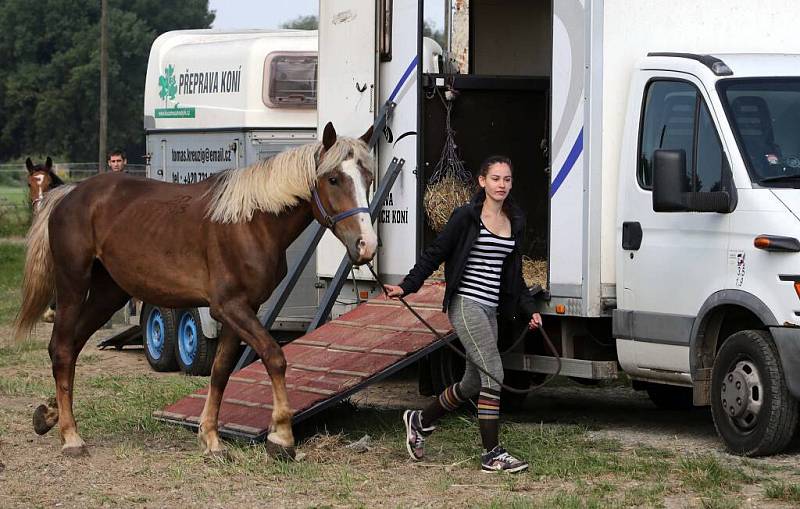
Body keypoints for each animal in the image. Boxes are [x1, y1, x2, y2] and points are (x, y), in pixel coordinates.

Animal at [12, 123, 376, 456]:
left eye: (368, 178)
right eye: (333, 179)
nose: (366, 246)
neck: (251, 222)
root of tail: (69, 195)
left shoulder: (244, 309)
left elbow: (221, 370)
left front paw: (211, 438)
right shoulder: (229, 307)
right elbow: (274, 356)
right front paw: (282, 436)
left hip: (108, 293)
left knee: (71, 347)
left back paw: (49, 415)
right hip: (72, 286)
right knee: (61, 348)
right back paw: (71, 436)